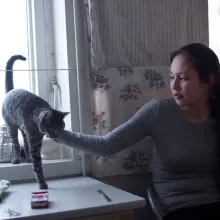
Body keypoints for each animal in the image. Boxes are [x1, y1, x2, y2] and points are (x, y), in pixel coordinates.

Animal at [1, 55, 69, 189]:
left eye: (61, 128)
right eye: (53, 128)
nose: (56, 135)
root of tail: (10, 91)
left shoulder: (37, 141)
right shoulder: (34, 142)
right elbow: (38, 165)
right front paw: (42, 183)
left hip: (23, 132)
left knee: (25, 144)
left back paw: (28, 158)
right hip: (11, 127)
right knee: (16, 144)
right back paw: (16, 159)